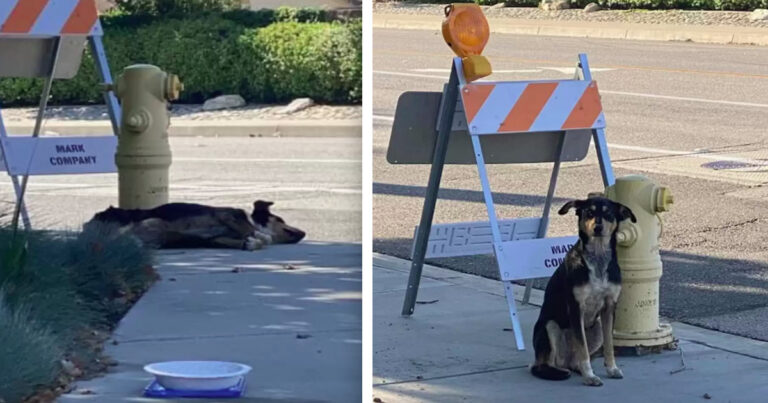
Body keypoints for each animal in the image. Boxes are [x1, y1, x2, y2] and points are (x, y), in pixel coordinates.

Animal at [528, 197, 636, 386]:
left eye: (608, 213)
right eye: (589, 212)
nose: (597, 228)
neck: (598, 259)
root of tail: (565, 362)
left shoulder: (609, 307)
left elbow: (609, 345)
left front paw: (612, 369)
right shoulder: (576, 307)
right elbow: (583, 347)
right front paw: (589, 376)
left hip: (597, 327)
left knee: (574, 360)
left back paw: (576, 368)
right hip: (549, 326)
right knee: (541, 365)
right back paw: (559, 372)